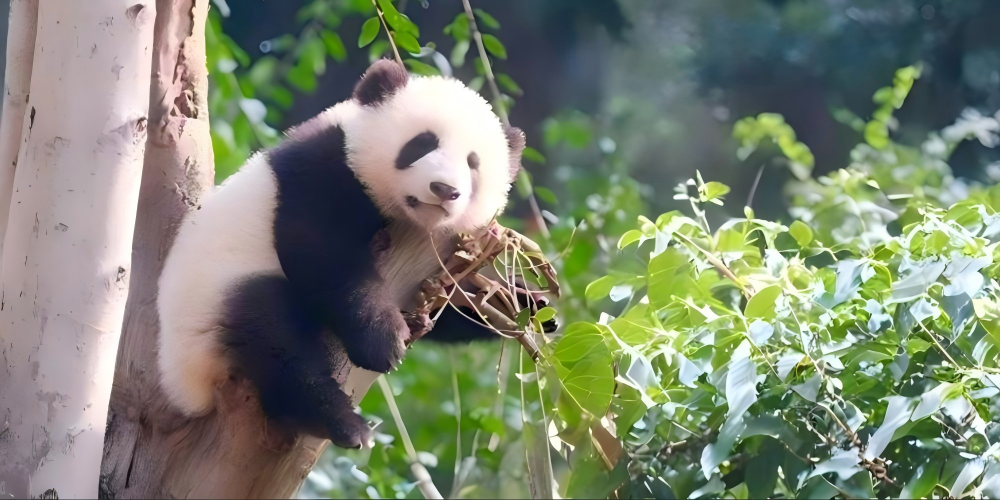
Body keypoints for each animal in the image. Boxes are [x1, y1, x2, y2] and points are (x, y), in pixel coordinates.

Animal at [157, 60, 525, 449]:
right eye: (422, 144)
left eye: (473, 163)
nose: (444, 189)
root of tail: (186, 395)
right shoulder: (325, 167)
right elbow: (322, 251)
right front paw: (383, 341)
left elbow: (452, 306)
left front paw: (523, 304)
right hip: (211, 311)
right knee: (275, 342)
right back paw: (343, 423)